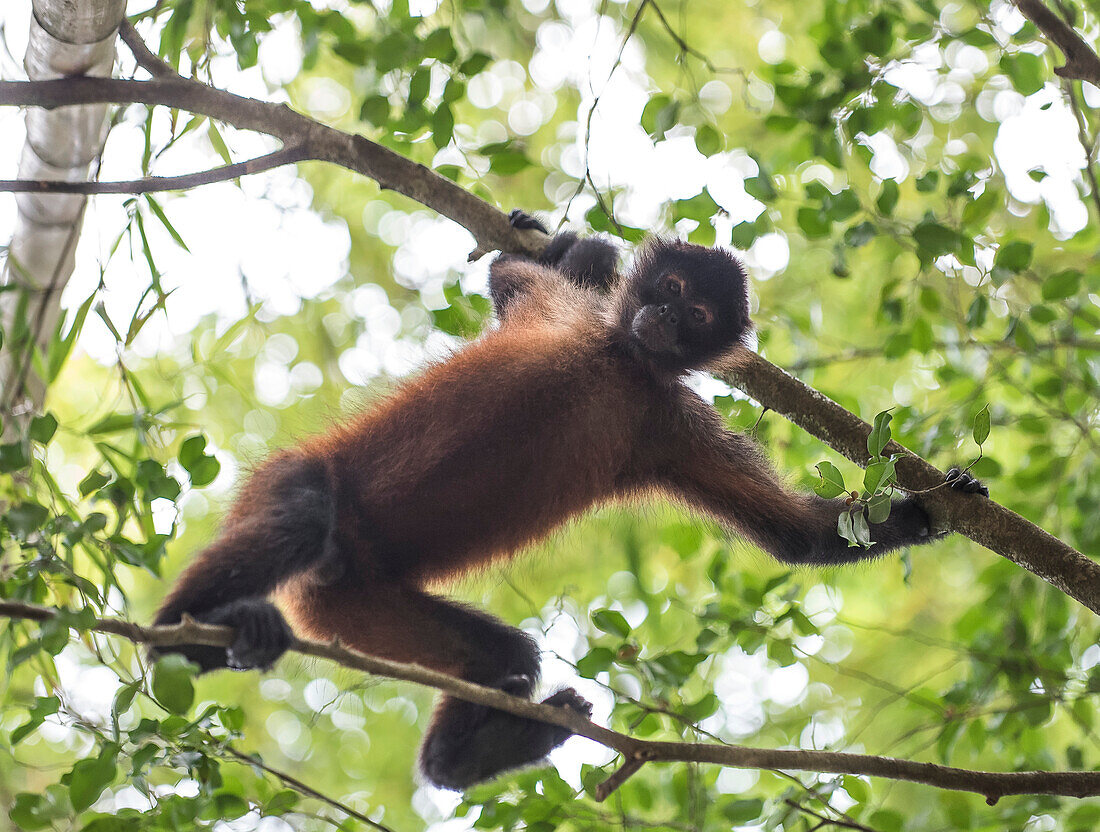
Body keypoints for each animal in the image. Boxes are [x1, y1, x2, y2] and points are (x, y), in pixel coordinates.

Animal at [155, 212, 990, 787]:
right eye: (673, 290)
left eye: (698, 319)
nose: (664, 317)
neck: (617, 358)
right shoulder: (567, 316)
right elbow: (512, 275)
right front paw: (565, 244)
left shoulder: (667, 419)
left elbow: (795, 536)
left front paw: (933, 508)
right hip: (302, 481)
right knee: (301, 511)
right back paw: (181, 634)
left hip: (361, 604)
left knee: (507, 660)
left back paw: (467, 758)